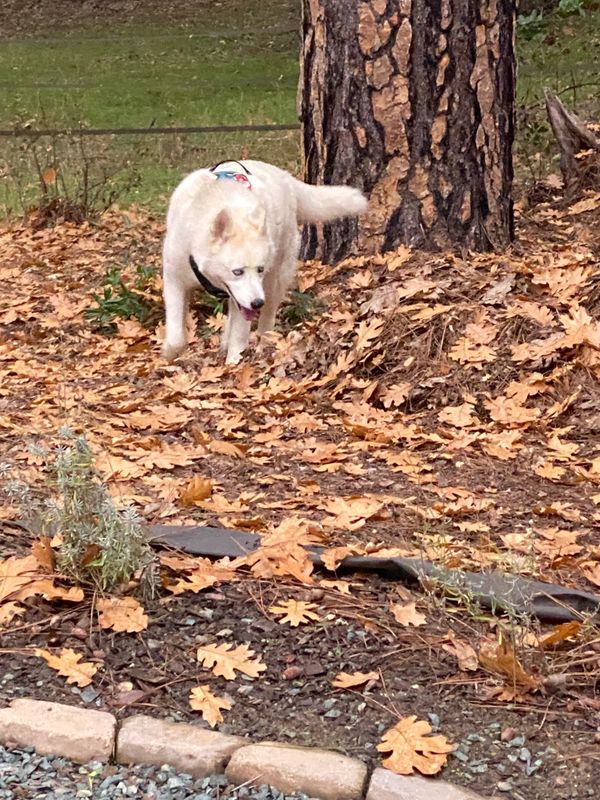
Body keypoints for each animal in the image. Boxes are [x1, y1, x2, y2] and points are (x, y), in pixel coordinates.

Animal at [161, 159, 366, 362]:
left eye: (259, 269)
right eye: (237, 272)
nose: (257, 303)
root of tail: (285, 176)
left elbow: (239, 337)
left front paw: (233, 365)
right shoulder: (174, 281)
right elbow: (176, 338)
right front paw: (169, 353)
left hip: (275, 280)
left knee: (268, 316)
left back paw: (266, 341)